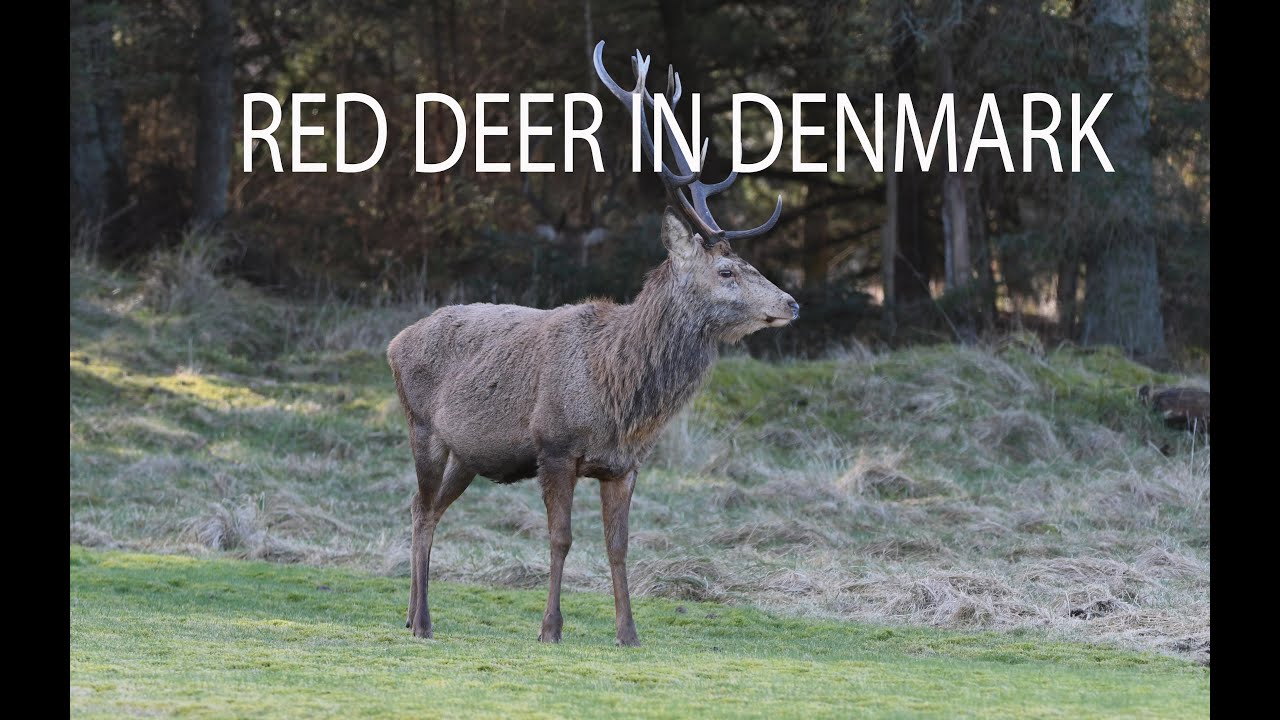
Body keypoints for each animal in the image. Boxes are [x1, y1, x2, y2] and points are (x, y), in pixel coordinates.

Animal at [386, 41, 797, 646]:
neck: (617, 392)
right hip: (422, 428)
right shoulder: (554, 447)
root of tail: (396, 342)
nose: (792, 303)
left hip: (467, 452)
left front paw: (629, 633)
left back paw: (415, 615)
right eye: (726, 270)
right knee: (417, 508)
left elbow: (618, 547)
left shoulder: (624, 466)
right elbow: (561, 539)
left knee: (432, 512)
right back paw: (420, 620)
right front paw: (550, 629)